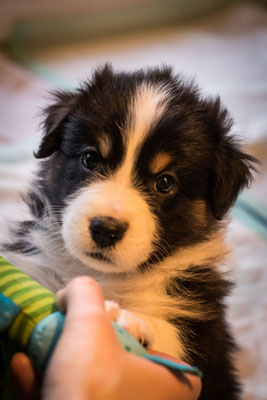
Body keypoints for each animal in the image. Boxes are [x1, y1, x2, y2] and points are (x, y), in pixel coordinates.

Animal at [3, 64, 256, 398]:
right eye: (90, 158)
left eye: (165, 182)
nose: (105, 229)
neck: (103, 275)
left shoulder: (204, 338)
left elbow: (175, 339)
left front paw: (126, 319)